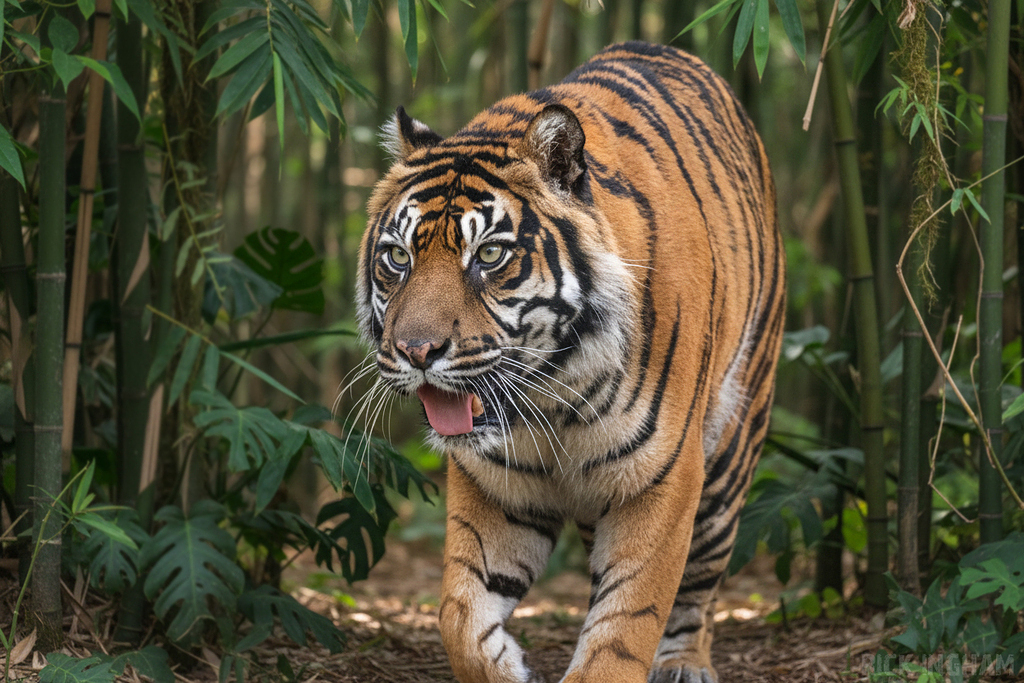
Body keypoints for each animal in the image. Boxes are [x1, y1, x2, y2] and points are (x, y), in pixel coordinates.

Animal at [356, 41, 785, 683]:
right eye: (398, 258)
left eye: (489, 255)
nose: (417, 351)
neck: (552, 390)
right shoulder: (496, 488)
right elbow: (459, 614)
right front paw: (507, 665)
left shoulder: (660, 480)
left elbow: (627, 624)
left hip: (732, 443)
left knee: (700, 582)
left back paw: (684, 663)